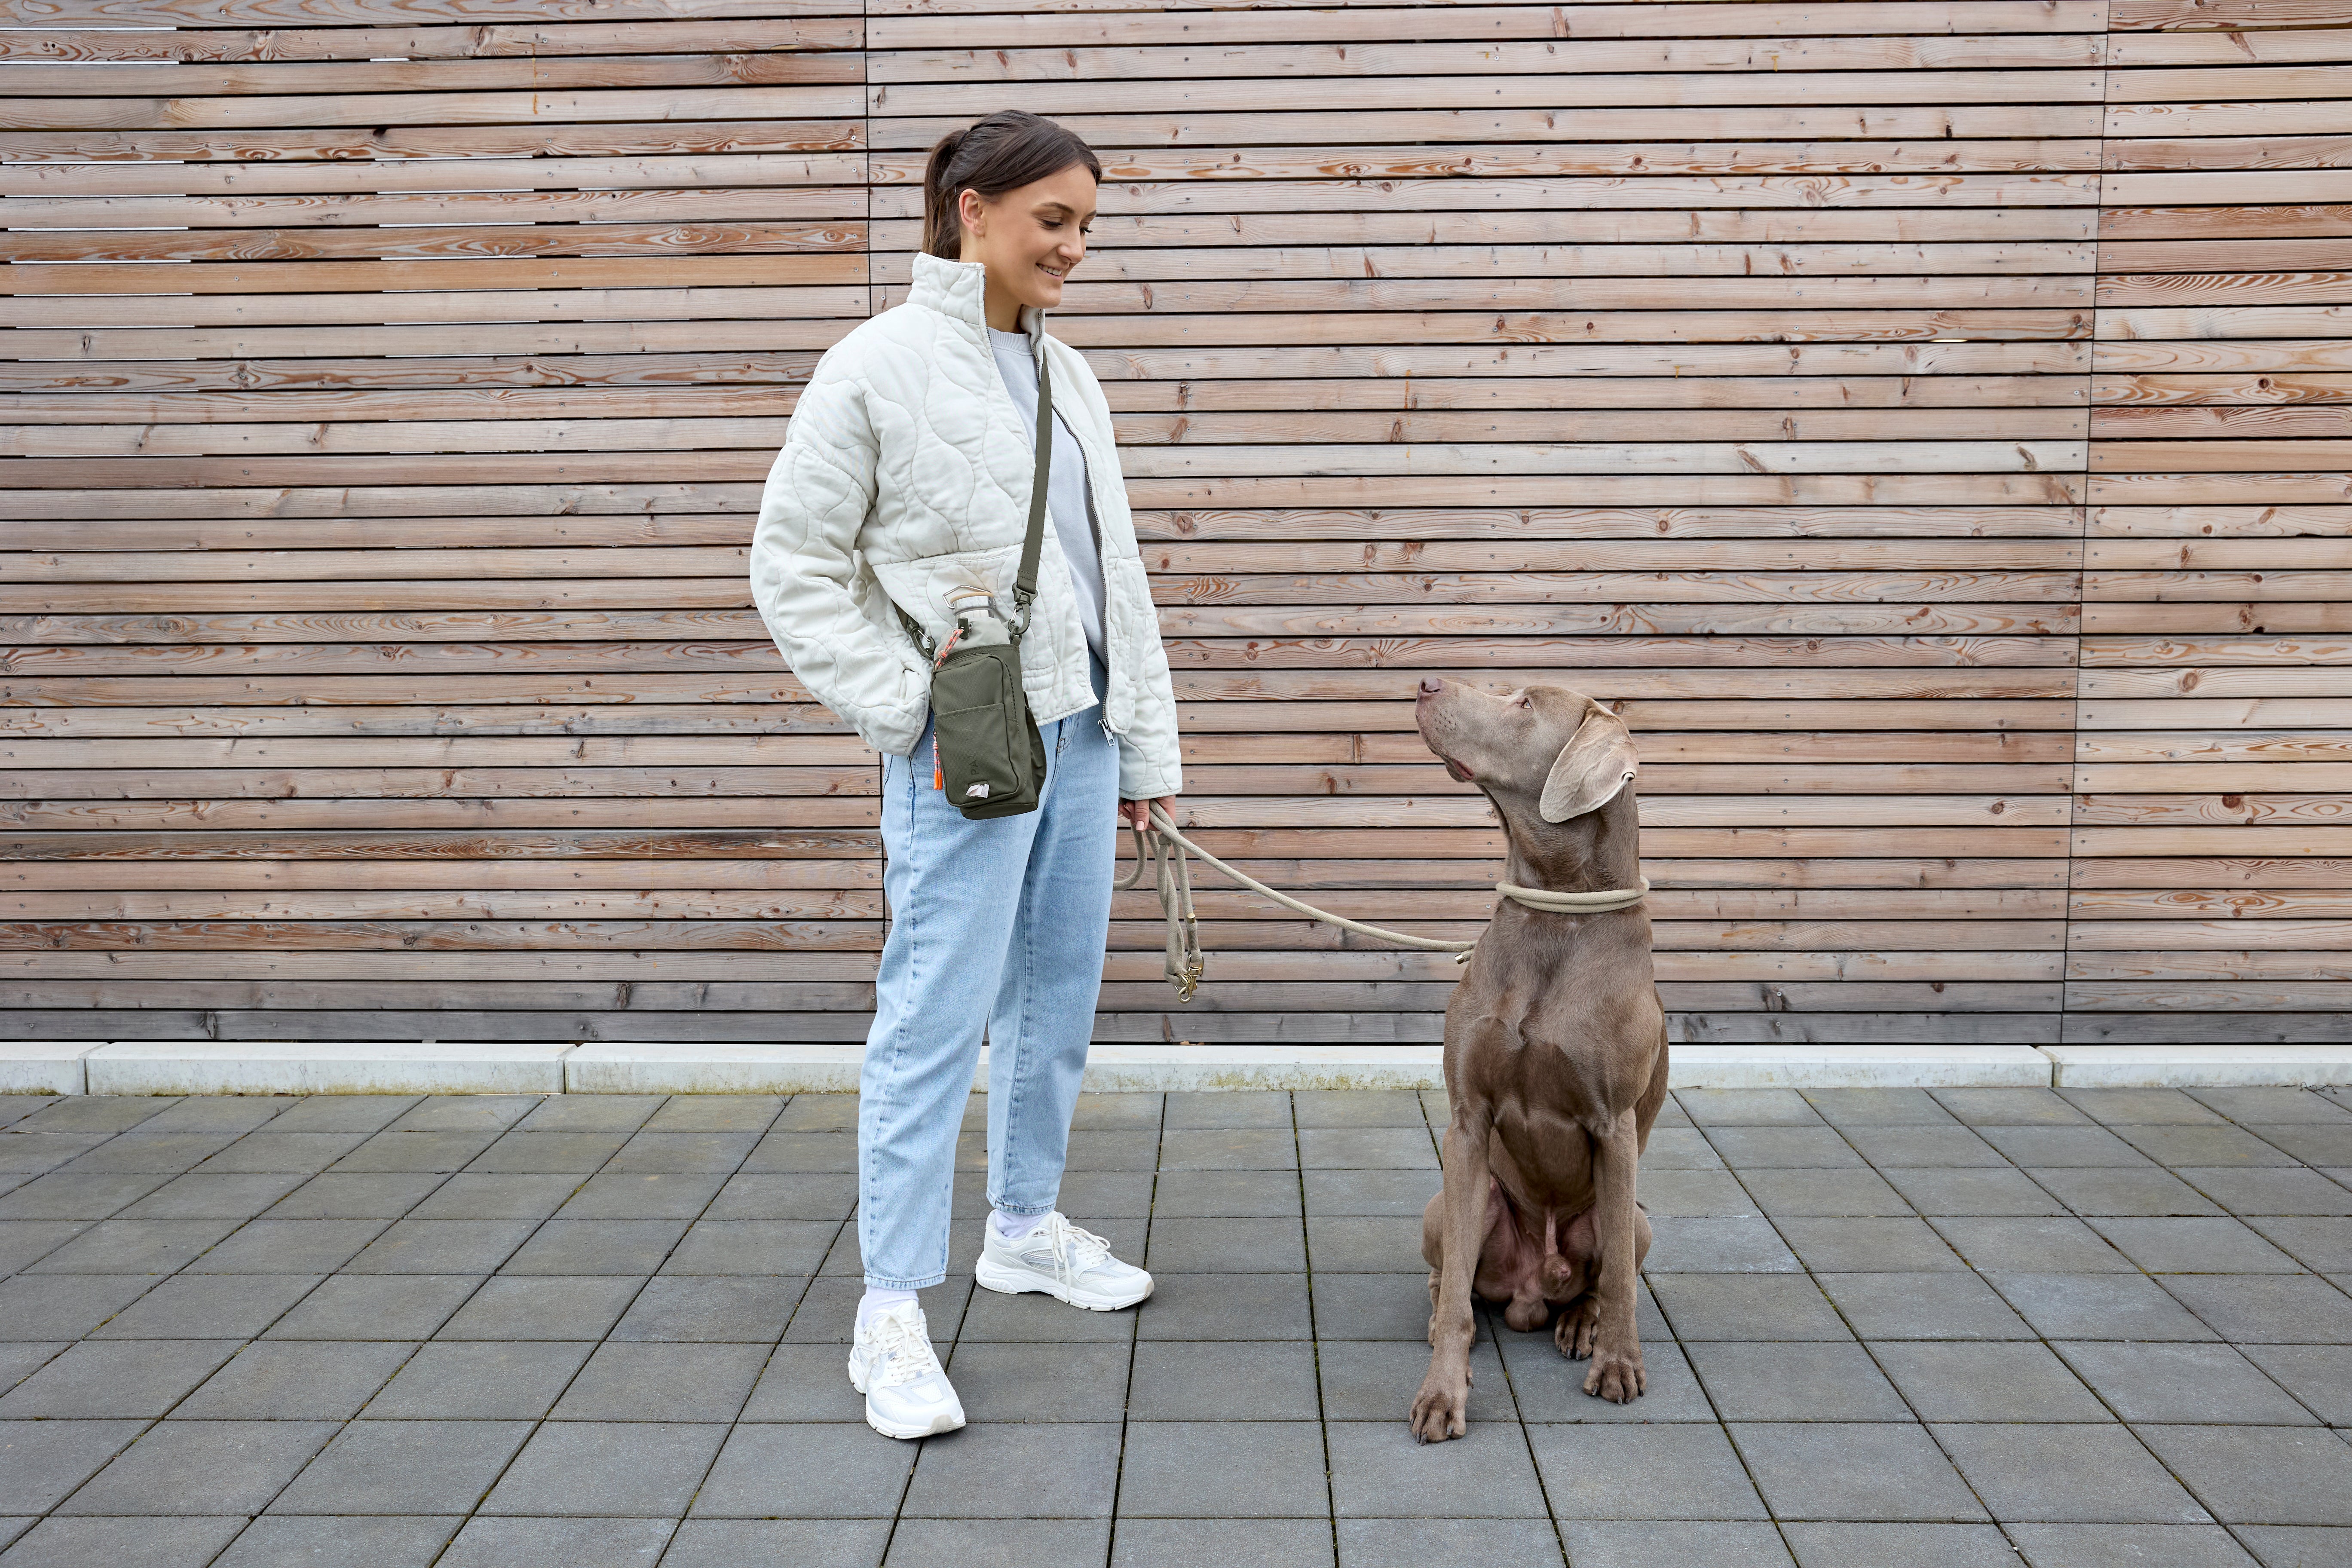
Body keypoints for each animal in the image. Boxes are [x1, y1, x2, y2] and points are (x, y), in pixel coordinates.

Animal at [1402, 677, 1665, 1448]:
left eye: (1523, 703)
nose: (1426, 681)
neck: (1557, 907)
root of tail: (1530, 1292)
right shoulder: (1467, 1121)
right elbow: (1460, 1300)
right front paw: (1442, 1393)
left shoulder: (1613, 1125)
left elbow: (1619, 1282)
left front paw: (1619, 1364)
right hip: (1452, 1202)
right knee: (1453, 1278)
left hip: (1637, 1217)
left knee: (1604, 1274)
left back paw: (1581, 1325)